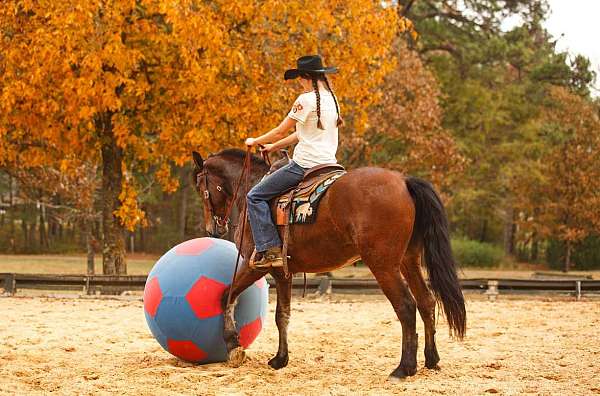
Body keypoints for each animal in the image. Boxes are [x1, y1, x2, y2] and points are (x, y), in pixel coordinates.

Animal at [191, 148, 464, 380]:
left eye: (200, 186)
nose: (213, 228)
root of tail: (404, 181)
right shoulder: (282, 273)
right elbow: (282, 315)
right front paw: (280, 359)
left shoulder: (254, 266)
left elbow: (227, 296)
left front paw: (232, 344)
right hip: (408, 261)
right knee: (426, 301)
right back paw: (431, 359)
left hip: (383, 265)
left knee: (406, 306)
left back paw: (404, 367)